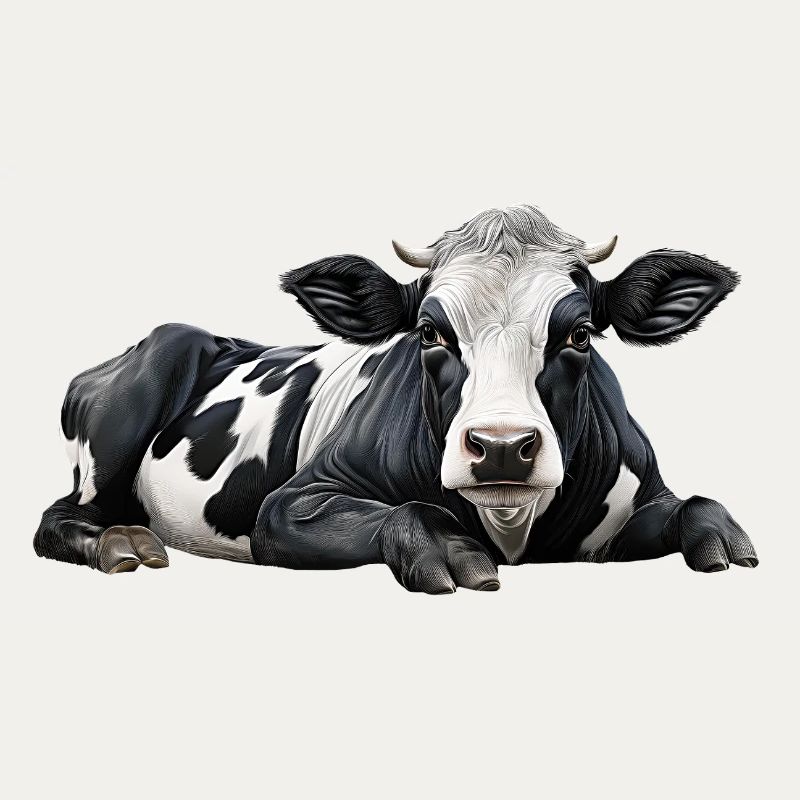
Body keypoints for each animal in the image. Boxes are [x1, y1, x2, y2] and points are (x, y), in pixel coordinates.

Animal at [34, 205, 757, 592]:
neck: (511, 529)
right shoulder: (286, 507)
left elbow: (700, 504)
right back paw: (122, 543)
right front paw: (450, 553)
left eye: (579, 334)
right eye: (430, 333)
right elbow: (406, 512)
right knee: (56, 520)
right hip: (120, 430)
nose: (501, 448)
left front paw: (730, 545)